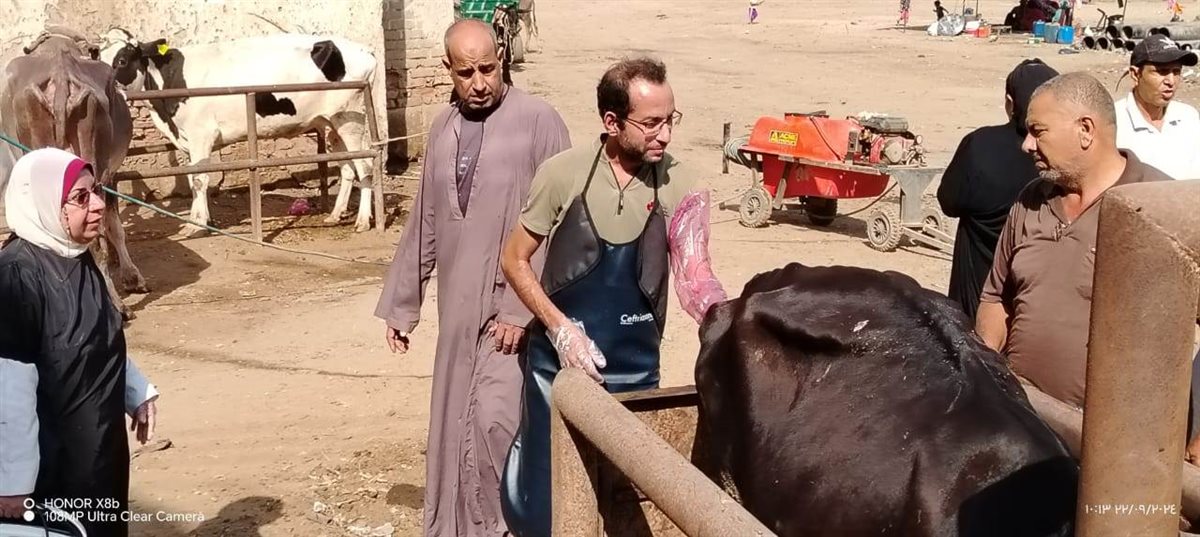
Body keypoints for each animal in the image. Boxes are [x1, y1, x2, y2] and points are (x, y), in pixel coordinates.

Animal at [1, 26, 149, 314]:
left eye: (124, 59)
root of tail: (60, 76)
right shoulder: (109, 174)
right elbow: (115, 228)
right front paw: (132, 276)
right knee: (94, 238)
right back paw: (115, 304)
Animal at [96, 29, 379, 234]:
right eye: (97, 59)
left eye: (122, 60)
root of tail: (366, 52)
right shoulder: (188, 138)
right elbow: (192, 177)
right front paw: (203, 219)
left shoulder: (201, 135)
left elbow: (199, 179)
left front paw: (196, 225)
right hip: (330, 124)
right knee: (347, 168)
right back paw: (335, 215)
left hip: (349, 120)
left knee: (365, 165)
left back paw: (364, 220)